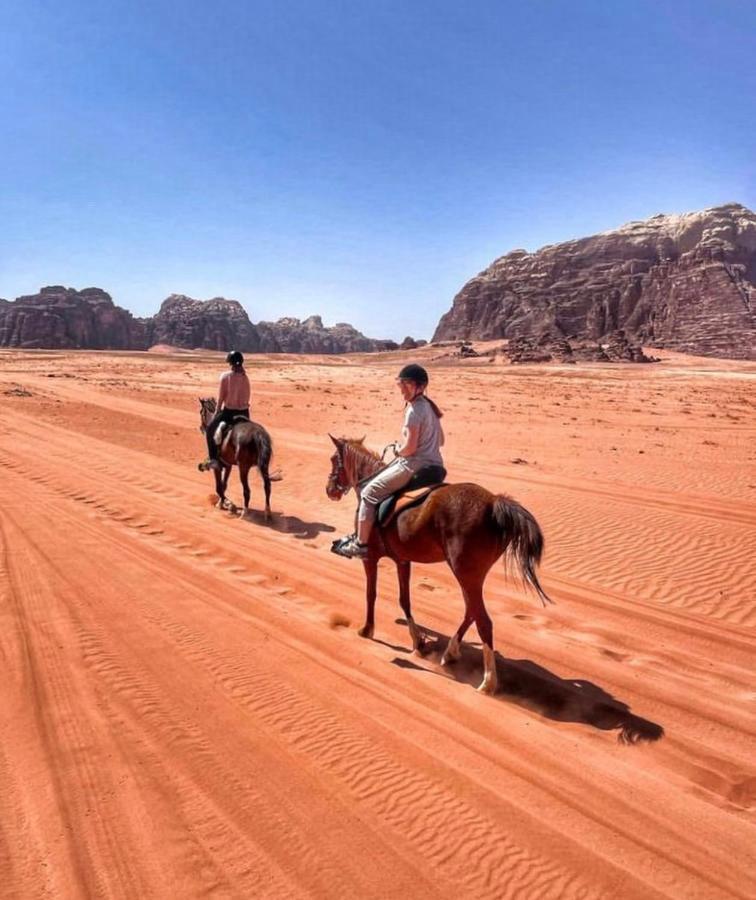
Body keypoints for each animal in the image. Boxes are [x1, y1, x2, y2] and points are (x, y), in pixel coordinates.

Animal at [324, 436, 548, 696]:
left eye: (334, 459)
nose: (329, 490)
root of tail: (494, 503)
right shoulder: (402, 560)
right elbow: (405, 600)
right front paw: (418, 641)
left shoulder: (370, 558)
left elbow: (371, 594)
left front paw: (367, 629)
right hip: (470, 575)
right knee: (471, 610)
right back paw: (451, 653)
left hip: (465, 573)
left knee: (483, 621)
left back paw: (488, 682)